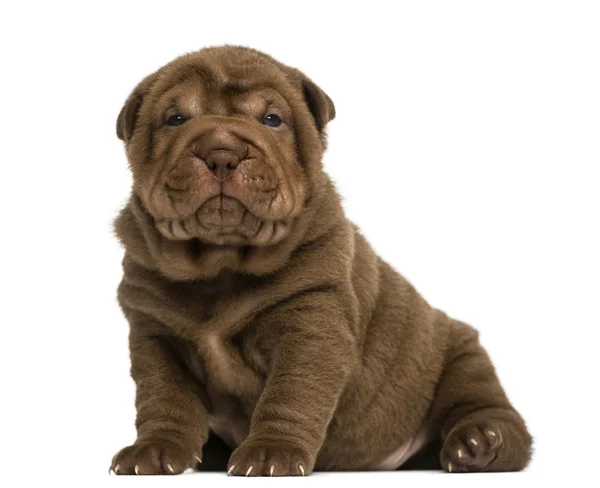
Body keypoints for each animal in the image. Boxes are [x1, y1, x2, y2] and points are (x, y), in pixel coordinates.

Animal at [110, 45, 532, 476]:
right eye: (175, 119)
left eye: (272, 119)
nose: (222, 153)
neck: (221, 263)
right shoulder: (155, 336)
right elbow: (164, 400)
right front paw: (153, 451)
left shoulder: (310, 325)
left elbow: (292, 394)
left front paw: (270, 453)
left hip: (462, 356)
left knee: (486, 408)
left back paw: (479, 444)